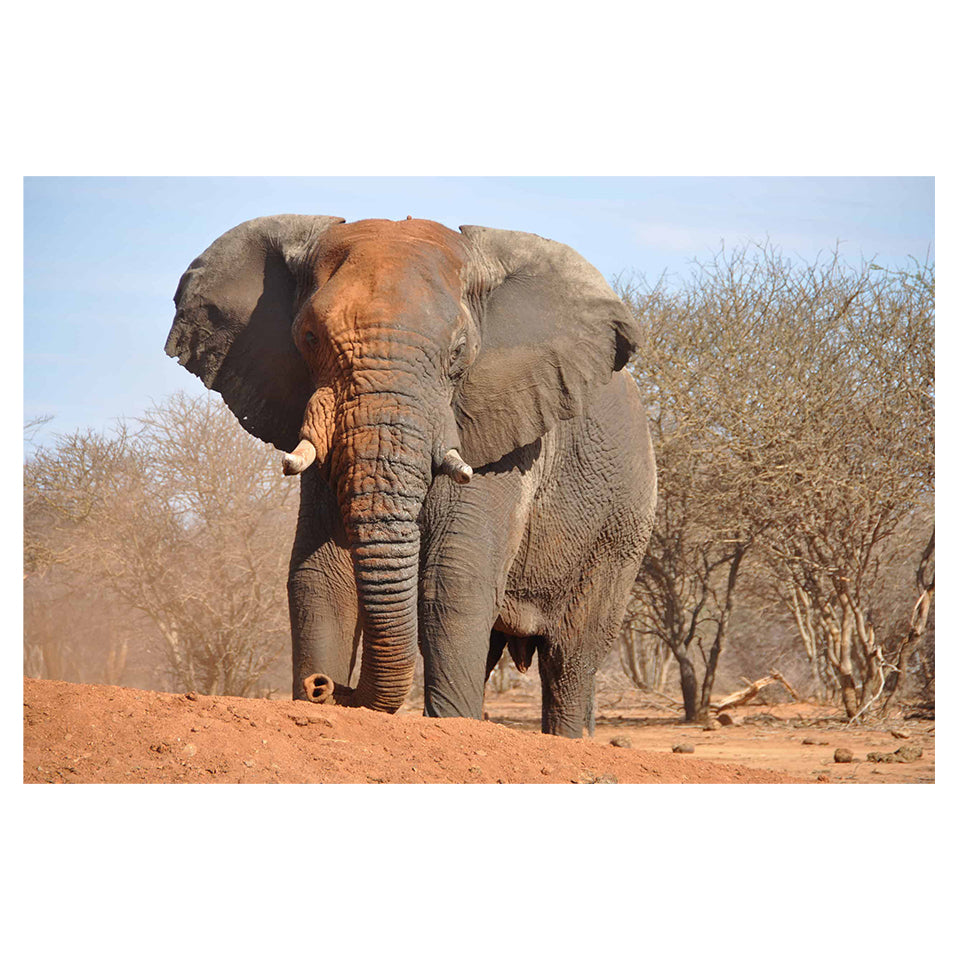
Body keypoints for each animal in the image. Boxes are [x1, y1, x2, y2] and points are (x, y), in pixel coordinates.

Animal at [165, 215, 656, 737]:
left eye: (459, 351)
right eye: (309, 338)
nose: (323, 687)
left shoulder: (506, 431)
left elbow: (453, 581)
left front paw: (454, 728)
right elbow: (320, 575)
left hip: (621, 529)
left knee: (570, 657)